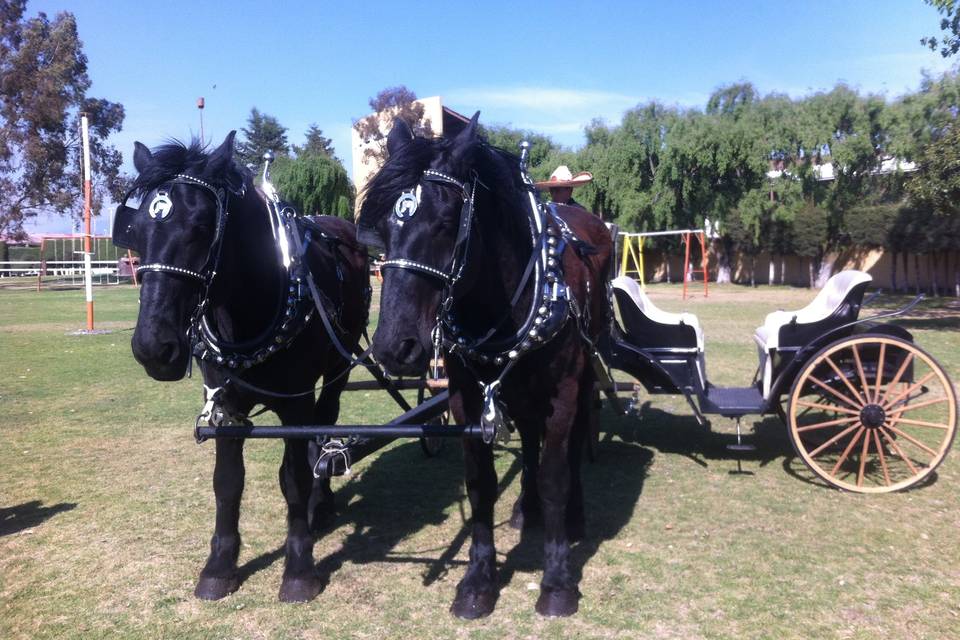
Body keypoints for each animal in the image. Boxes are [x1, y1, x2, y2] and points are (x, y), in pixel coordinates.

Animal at [112, 132, 368, 604]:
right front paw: (219, 566)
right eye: (136, 232)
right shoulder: (224, 403)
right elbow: (227, 482)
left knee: (323, 431)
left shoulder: (297, 404)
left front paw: (299, 569)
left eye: (201, 228)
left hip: (335, 372)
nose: (153, 347)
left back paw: (320, 503)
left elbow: (294, 478)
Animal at [356, 114, 612, 616]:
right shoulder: (467, 399)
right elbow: (480, 483)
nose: (395, 346)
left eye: (445, 223)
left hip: (584, 375)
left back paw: (572, 517)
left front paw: (557, 580)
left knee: (570, 447)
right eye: (381, 228)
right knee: (529, 442)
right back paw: (526, 508)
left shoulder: (563, 393)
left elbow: (556, 475)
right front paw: (478, 579)